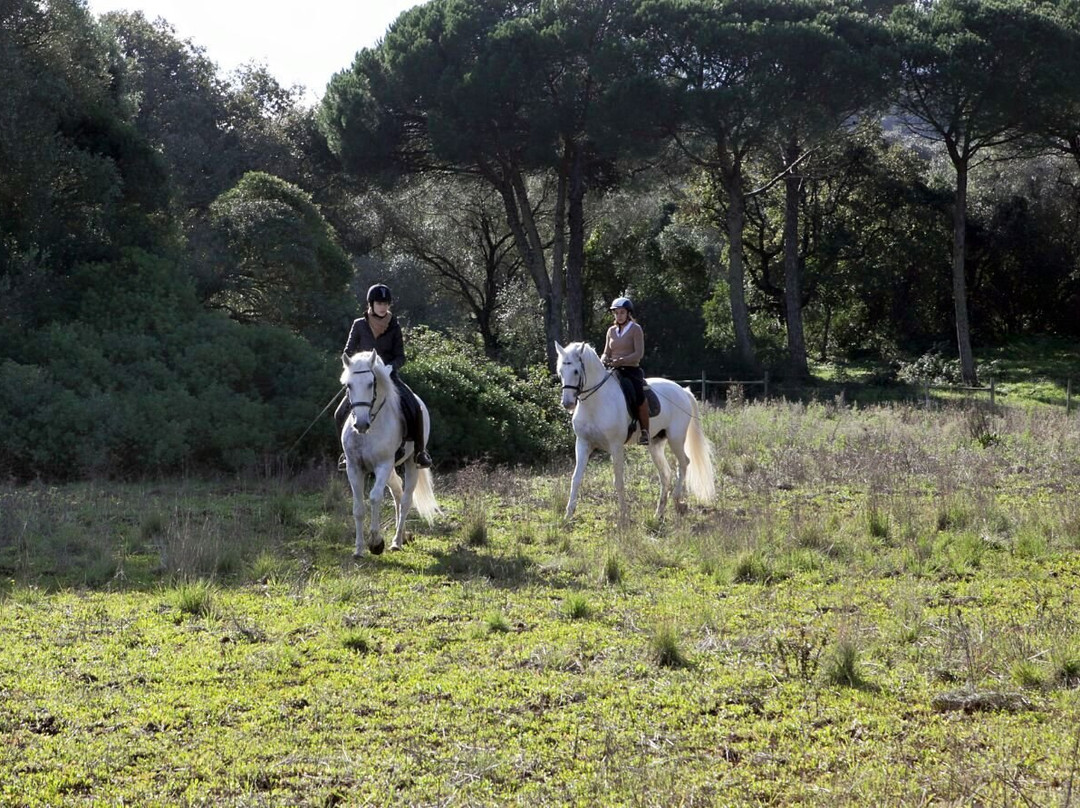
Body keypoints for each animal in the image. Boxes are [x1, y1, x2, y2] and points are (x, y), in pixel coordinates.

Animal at [340, 350, 439, 556]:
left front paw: (376, 543)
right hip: (392, 468)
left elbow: (374, 497)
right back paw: (402, 537)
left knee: (406, 499)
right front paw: (359, 549)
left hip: (411, 463)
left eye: (371, 383)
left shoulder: (383, 465)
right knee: (397, 491)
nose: (361, 424)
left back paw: (396, 542)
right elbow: (358, 507)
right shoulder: (353, 468)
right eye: (349, 385)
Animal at [554, 341, 716, 521]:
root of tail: (683, 391)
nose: (567, 403)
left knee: (684, 463)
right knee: (665, 474)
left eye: (576, 371)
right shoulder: (583, 444)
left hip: (676, 439)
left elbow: (618, 481)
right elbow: (576, 478)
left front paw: (624, 515)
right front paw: (568, 515)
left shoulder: (616, 446)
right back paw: (659, 512)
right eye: (560, 371)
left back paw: (677, 500)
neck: (595, 402)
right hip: (655, 444)